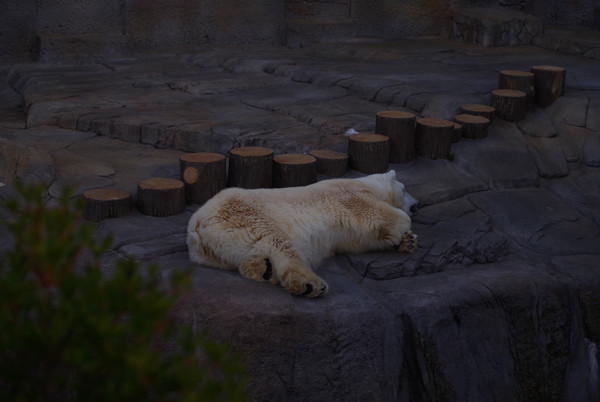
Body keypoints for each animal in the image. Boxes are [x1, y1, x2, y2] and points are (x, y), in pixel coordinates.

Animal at [186, 170, 418, 298]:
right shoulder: (349, 195)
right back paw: (310, 285)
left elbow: (360, 241)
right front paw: (404, 225)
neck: (365, 183)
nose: (417, 205)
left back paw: (263, 268)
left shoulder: (347, 235)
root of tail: (197, 227)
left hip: (214, 254)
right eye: (405, 188)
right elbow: (377, 215)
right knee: (279, 244)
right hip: (247, 215)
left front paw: (408, 241)